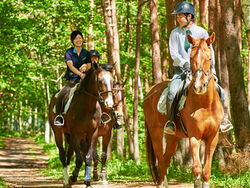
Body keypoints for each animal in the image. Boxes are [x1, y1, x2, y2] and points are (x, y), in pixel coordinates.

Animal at [144, 32, 224, 188]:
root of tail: (150, 91)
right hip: (155, 133)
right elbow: (197, 168)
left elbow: (207, 170)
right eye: (191, 58)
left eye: (209, 58)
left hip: (172, 137)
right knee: (160, 161)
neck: (206, 105)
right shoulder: (194, 136)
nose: (199, 86)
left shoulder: (213, 137)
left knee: (165, 161)